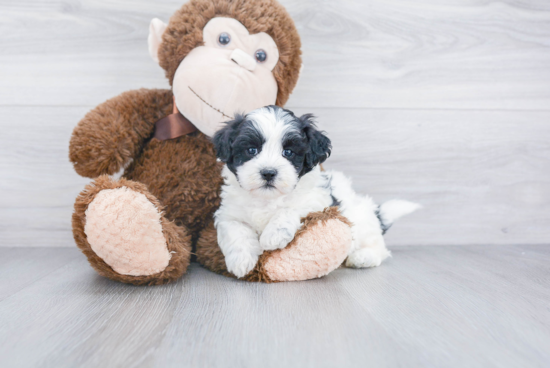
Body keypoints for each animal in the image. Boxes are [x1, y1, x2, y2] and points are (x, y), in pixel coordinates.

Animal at [213, 105, 420, 278]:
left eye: (288, 152)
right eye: (251, 150)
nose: (268, 172)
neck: (268, 199)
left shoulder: (317, 201)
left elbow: (290, 208)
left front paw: (274, 234)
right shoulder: (229, 213)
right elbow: (236, 230)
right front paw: (241, 261)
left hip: (362, 222)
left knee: (378, 247)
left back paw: (363, 257)